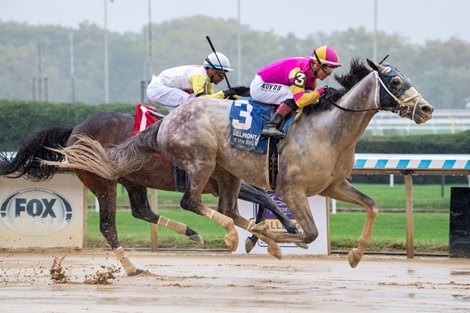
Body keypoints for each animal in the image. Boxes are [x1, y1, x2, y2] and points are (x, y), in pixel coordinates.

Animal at [0, 111, 300, 274]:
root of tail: (75, 130)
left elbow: (263, 198)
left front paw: (259, 236)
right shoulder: (219, 183)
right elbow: (264, 197)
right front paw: (289, 228)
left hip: (132, 178)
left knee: (141, 210)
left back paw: (190, 232)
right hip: (103, 181)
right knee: (108, 225)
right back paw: (133, 268)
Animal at [46, 59, 436, 266]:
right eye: (395, 81)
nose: (427, 109)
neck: (327, 130)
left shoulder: (333, 185)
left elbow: (371, 205)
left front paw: (355, 254)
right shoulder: (289, 188)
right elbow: (305, 228)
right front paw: (272, 236)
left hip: (208, 173)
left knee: (207, 209)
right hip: (190, 165)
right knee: (184, 204)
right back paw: (225, 238)